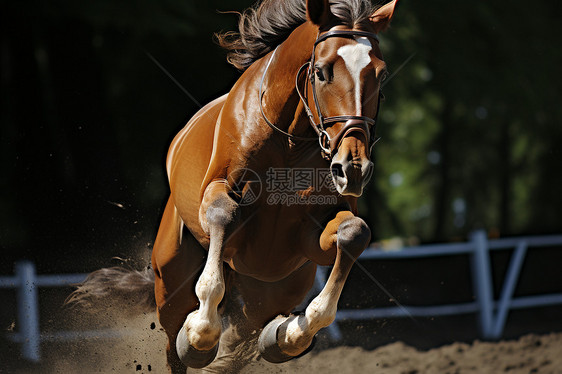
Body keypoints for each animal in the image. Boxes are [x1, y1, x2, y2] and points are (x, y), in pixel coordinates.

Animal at [70, 0, 396, 372]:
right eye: (322, 71)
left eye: (380, 74)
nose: (352, 168)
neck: (290, 144)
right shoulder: (222, 194)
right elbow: (222, 218)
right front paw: (200, 331)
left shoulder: (309, 238)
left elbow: (353, 233)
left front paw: (294, 334)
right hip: (171, 283)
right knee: (175, 340)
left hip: (270, 292)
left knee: (245, 338)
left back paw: (277, 336)